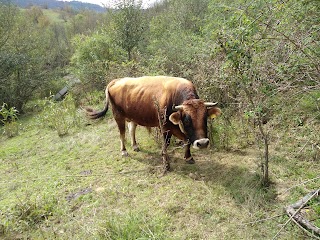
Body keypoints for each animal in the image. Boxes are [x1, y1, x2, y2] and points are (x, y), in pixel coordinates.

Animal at [85, 76, 220, 169]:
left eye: (205, 117)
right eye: (187, 120)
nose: (203, 143)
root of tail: (116, 80)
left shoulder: (175, 127)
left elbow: (186, 139)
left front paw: (188, 157)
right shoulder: (165, 127)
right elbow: (166, 143)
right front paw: (165, 160)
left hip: (133, 116)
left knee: (131, 129)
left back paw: (135, 146)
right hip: (118, 116)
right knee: (122, 133)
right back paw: (124, 151)